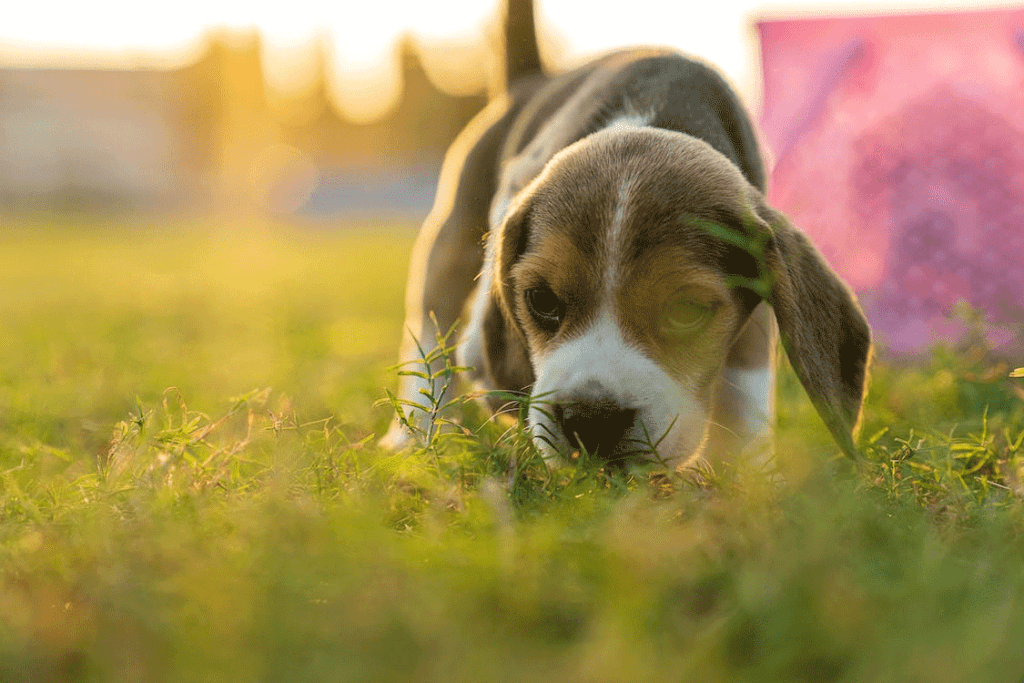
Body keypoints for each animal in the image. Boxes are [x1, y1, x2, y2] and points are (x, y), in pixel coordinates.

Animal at [385, 0, 872, 471]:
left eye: (687, 309)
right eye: (541, 300)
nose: (590, 419)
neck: (651, 115)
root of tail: (530, 79)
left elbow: (746, 390)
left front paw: (748, 475)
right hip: (451, 244)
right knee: (430, 340)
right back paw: (412, 438)